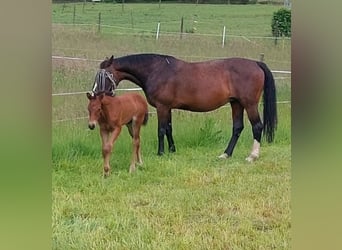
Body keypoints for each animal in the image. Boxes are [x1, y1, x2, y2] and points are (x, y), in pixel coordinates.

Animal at [95, 53, 276, 162]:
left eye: (103, 75)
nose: (96, 93)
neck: (157, 70)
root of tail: (256, 63)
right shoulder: (168, 108)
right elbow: (169, 128)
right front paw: (172, 150)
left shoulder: (162, 107)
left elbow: (161, 130)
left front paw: (160, 153)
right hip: (236, 103)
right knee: (237, 128)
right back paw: (225, 154)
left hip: (249, 104)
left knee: (257, 126)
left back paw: (252, 156)